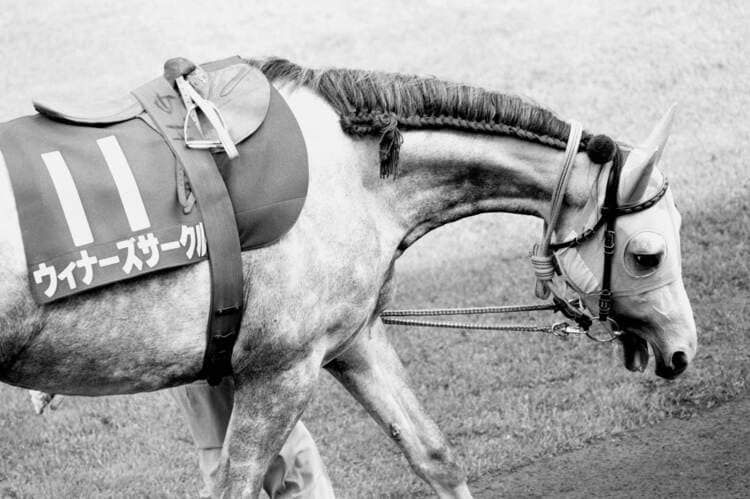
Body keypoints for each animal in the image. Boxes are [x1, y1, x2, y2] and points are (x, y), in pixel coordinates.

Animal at [0, 58, 696, 497]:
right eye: (647, 255)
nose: (682, 350)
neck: (355, 176)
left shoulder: (353, 339)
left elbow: (434, 455)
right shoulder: (281, 371)